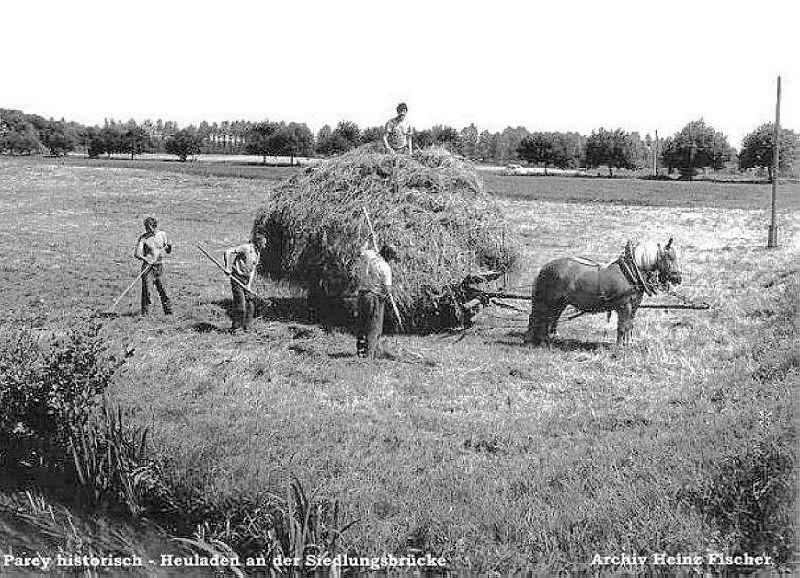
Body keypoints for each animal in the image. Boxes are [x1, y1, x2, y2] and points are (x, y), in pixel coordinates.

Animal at [524, 237, 680, 344]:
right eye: (669, 257)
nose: (678, 277)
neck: (632, 272)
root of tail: (544, 268)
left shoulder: (633, 307)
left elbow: (629, 325)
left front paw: (628, 343)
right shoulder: (624, 306)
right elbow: (623, 326)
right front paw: (620, 346)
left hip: (559, 303)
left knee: (548, 319)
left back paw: (545, 339)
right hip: (547, 301)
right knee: (538, 318)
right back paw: (537, 340)